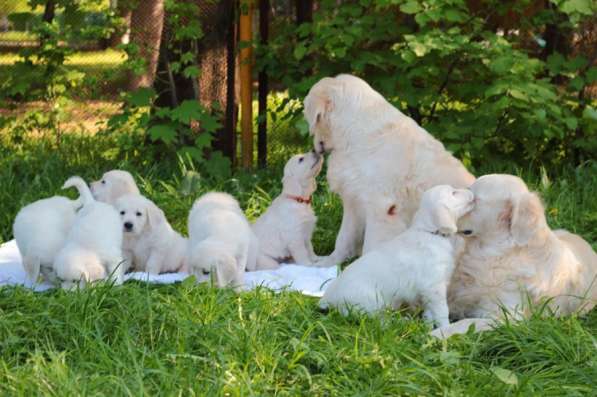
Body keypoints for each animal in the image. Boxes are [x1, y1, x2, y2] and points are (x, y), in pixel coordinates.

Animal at [302, 73, 474, 266]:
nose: (315, 150)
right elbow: (343, 238)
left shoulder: (382, 207)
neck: (354, 134)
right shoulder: (353, 201)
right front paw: (328, 263)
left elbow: (370, 245)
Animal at [318, 184, 472, 326]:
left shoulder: (430, 289)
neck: (431, 232)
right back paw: (401, 321)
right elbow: (441, 311)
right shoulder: (434, 286)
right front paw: (445, 328)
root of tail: (328, 298)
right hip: (370, 302)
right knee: (379, 320)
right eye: (454, 193)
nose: (471, 191)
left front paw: (427, 327)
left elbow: (429, 312)